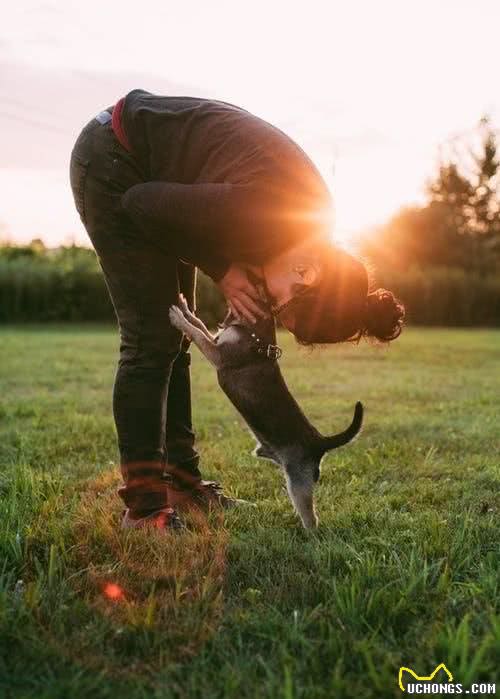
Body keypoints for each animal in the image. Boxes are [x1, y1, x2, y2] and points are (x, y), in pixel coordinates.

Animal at [169, 292, 364, 528]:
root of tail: (319, 442)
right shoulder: (216, 339)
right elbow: (199, 324)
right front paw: (185, 308)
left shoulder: (218, 354)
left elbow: (197, 333)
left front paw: (178, 318)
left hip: (298, 482)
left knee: (311, 516)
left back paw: (308, 533)